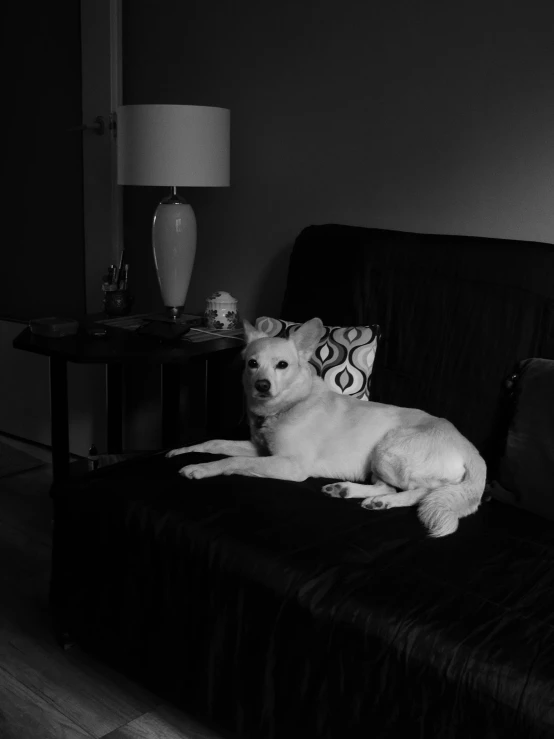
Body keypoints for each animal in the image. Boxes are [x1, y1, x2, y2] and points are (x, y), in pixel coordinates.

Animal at [167, 318, 484, 536]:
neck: (289, 405)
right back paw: (353, 493)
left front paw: (200, 469)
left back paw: (384, 502)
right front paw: (183, 451)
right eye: (252, 363)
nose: (262, 386)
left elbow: (233, 461)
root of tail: (471, 449)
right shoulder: (259, 449)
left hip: (389, 451)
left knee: (423, 492)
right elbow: (215, 443)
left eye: (282, 365)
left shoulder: (290, 465)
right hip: (378, 461)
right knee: (387, 486)